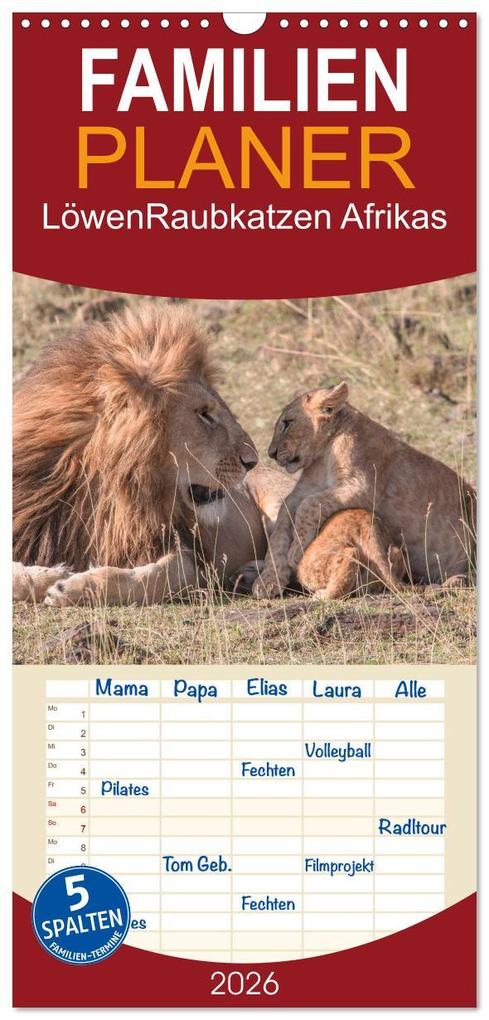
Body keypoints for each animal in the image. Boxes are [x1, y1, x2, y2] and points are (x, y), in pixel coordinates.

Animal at [13, 304, 291, 606]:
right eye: (204, 414)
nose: (252, 461)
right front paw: (50, 575)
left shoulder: (192, 555)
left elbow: (155, 577)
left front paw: (74, 586)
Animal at [253, 381, 476, 599]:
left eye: (287, 422)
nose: (271, 453)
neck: (325, 452)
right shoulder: (302, 492)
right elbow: (280, 530)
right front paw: (268, 581)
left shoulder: (363, 487)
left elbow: (309, 504)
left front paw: (297, 551)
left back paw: (453, 581)